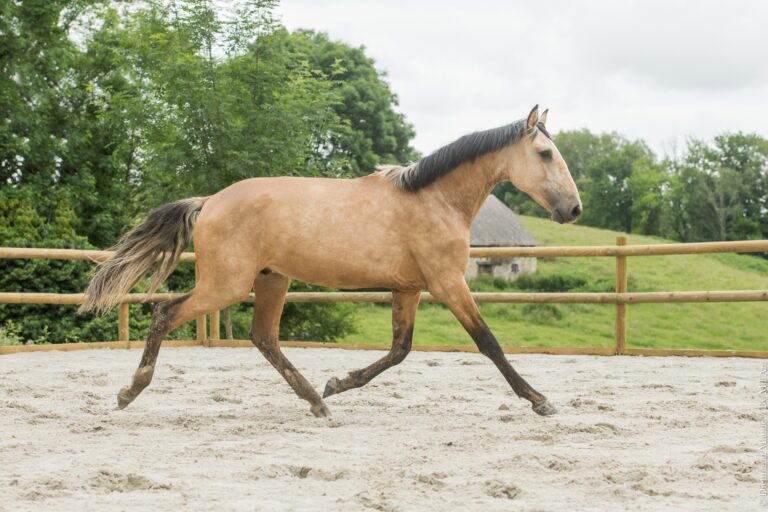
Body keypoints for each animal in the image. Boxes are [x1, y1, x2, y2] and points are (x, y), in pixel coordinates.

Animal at [80, 105, 582, 417]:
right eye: (544, 153)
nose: (574, 210)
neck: (433, 199)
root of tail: (210, 201)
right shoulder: (448, 282)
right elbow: (488, 343)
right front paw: (539, 400)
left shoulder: (409, 288)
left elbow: (399, 350)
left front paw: (339, 382)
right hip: (226, 284)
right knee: (166, 314)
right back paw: (129, 392)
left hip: (271, 280)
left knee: (264, 338)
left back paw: (317, 401)